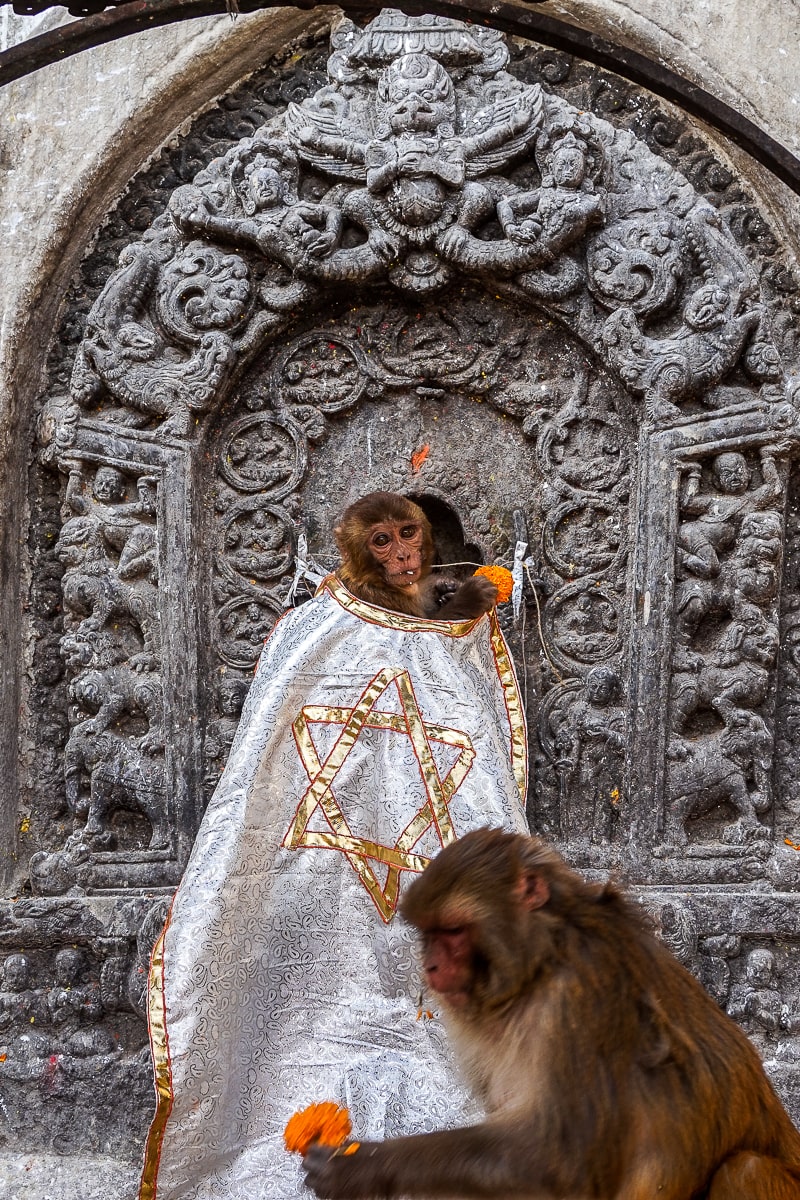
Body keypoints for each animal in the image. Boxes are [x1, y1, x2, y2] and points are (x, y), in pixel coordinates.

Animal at [304, 829, 800, 1199]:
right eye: (428, 934)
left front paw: (363, 1168)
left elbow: (560, 1158)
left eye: (454, 932)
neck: (543, 960)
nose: (430, 966)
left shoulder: (581, 995)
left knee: (746, 1170)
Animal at [334, 491, 497, 620]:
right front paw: (469, 598)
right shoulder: (373, 596)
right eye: (381, 540)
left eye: (407, 532)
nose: (403, 555)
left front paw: (445, 586)